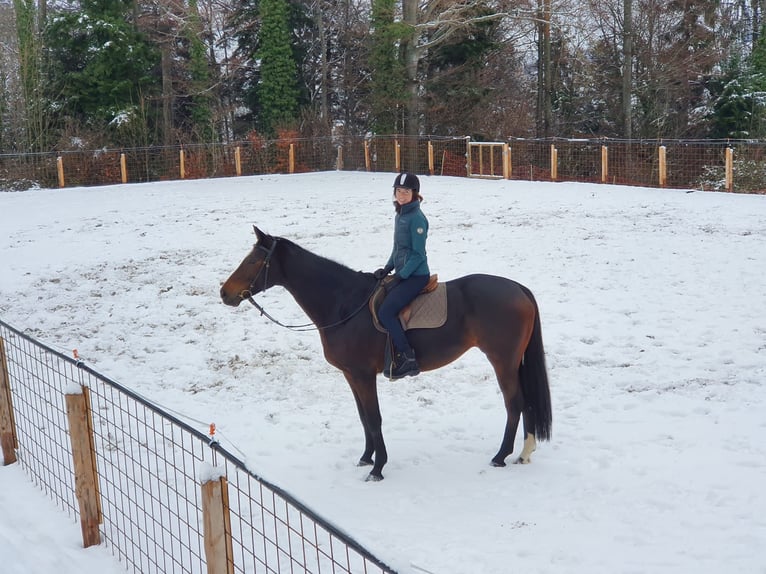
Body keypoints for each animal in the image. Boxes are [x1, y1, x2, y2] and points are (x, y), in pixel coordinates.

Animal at [222, 227, 552, 484]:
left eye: (253, 260)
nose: (224, 293)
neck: (344, 303)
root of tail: (518, 289)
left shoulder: (363, 375)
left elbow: (374, 418)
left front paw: (377, 468)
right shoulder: (352, 375)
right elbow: (363, 417)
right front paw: (366, 457)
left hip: (502, 361)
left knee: (515, 403)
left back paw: (502, 455)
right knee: (524, 403)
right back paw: (524, 453)